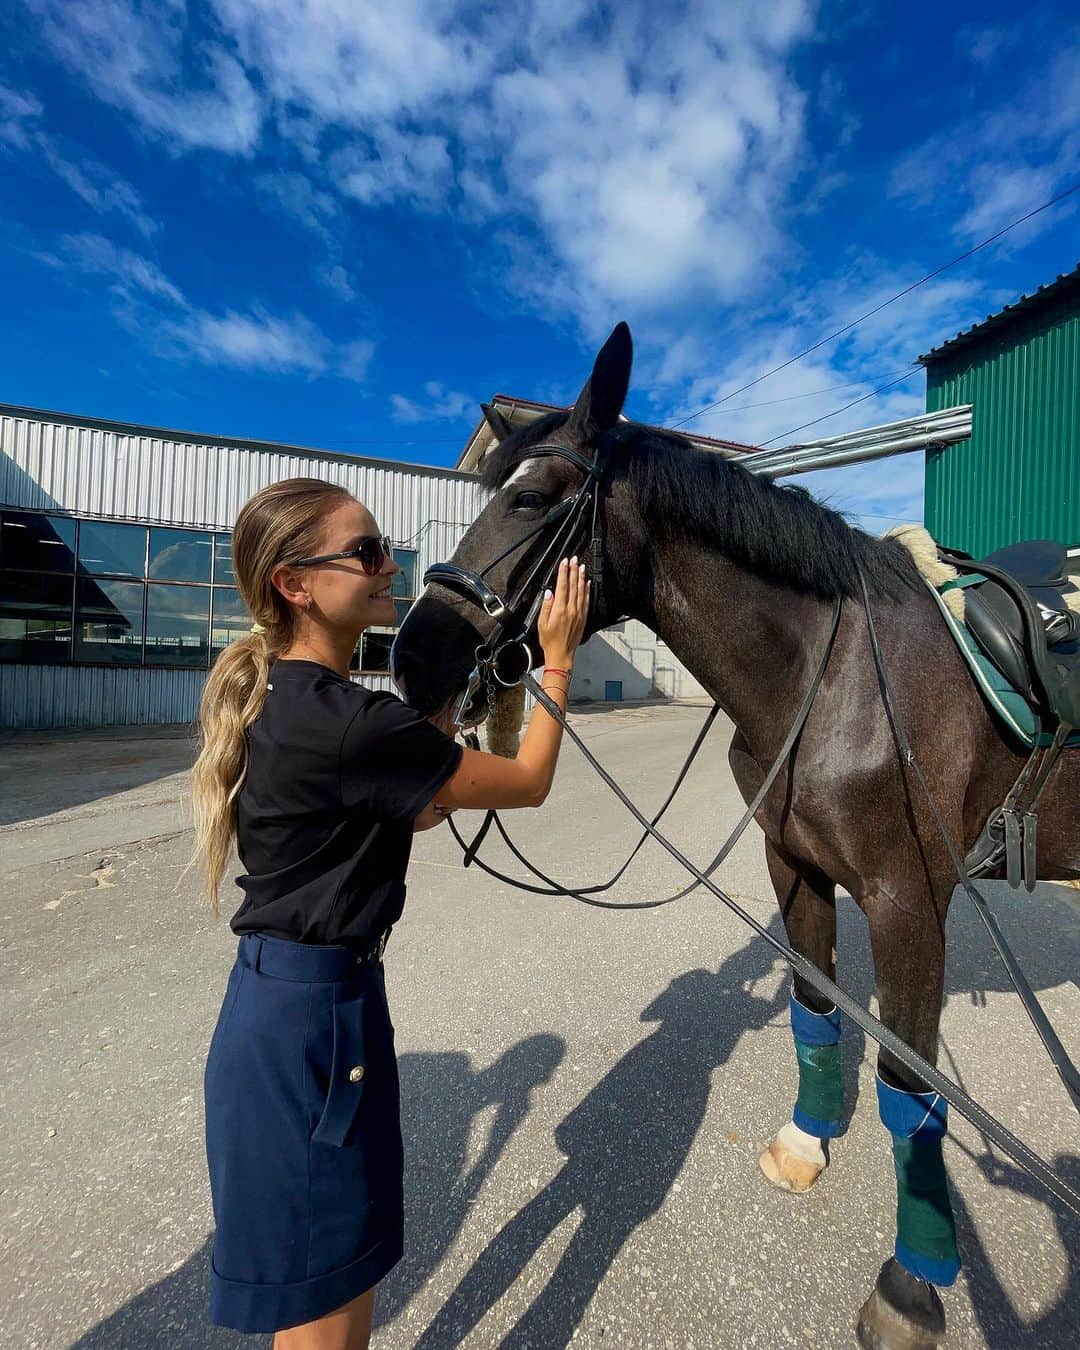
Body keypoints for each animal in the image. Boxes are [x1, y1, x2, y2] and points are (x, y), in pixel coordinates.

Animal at [391, 321, 1080, 1344]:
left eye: (530, 497)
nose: (412, 660)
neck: (833, 678)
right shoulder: (793, 867)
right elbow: (815, 1008)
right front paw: (805, 1143)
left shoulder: (909, 903)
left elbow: (910, 1086)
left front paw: (911, 1287)